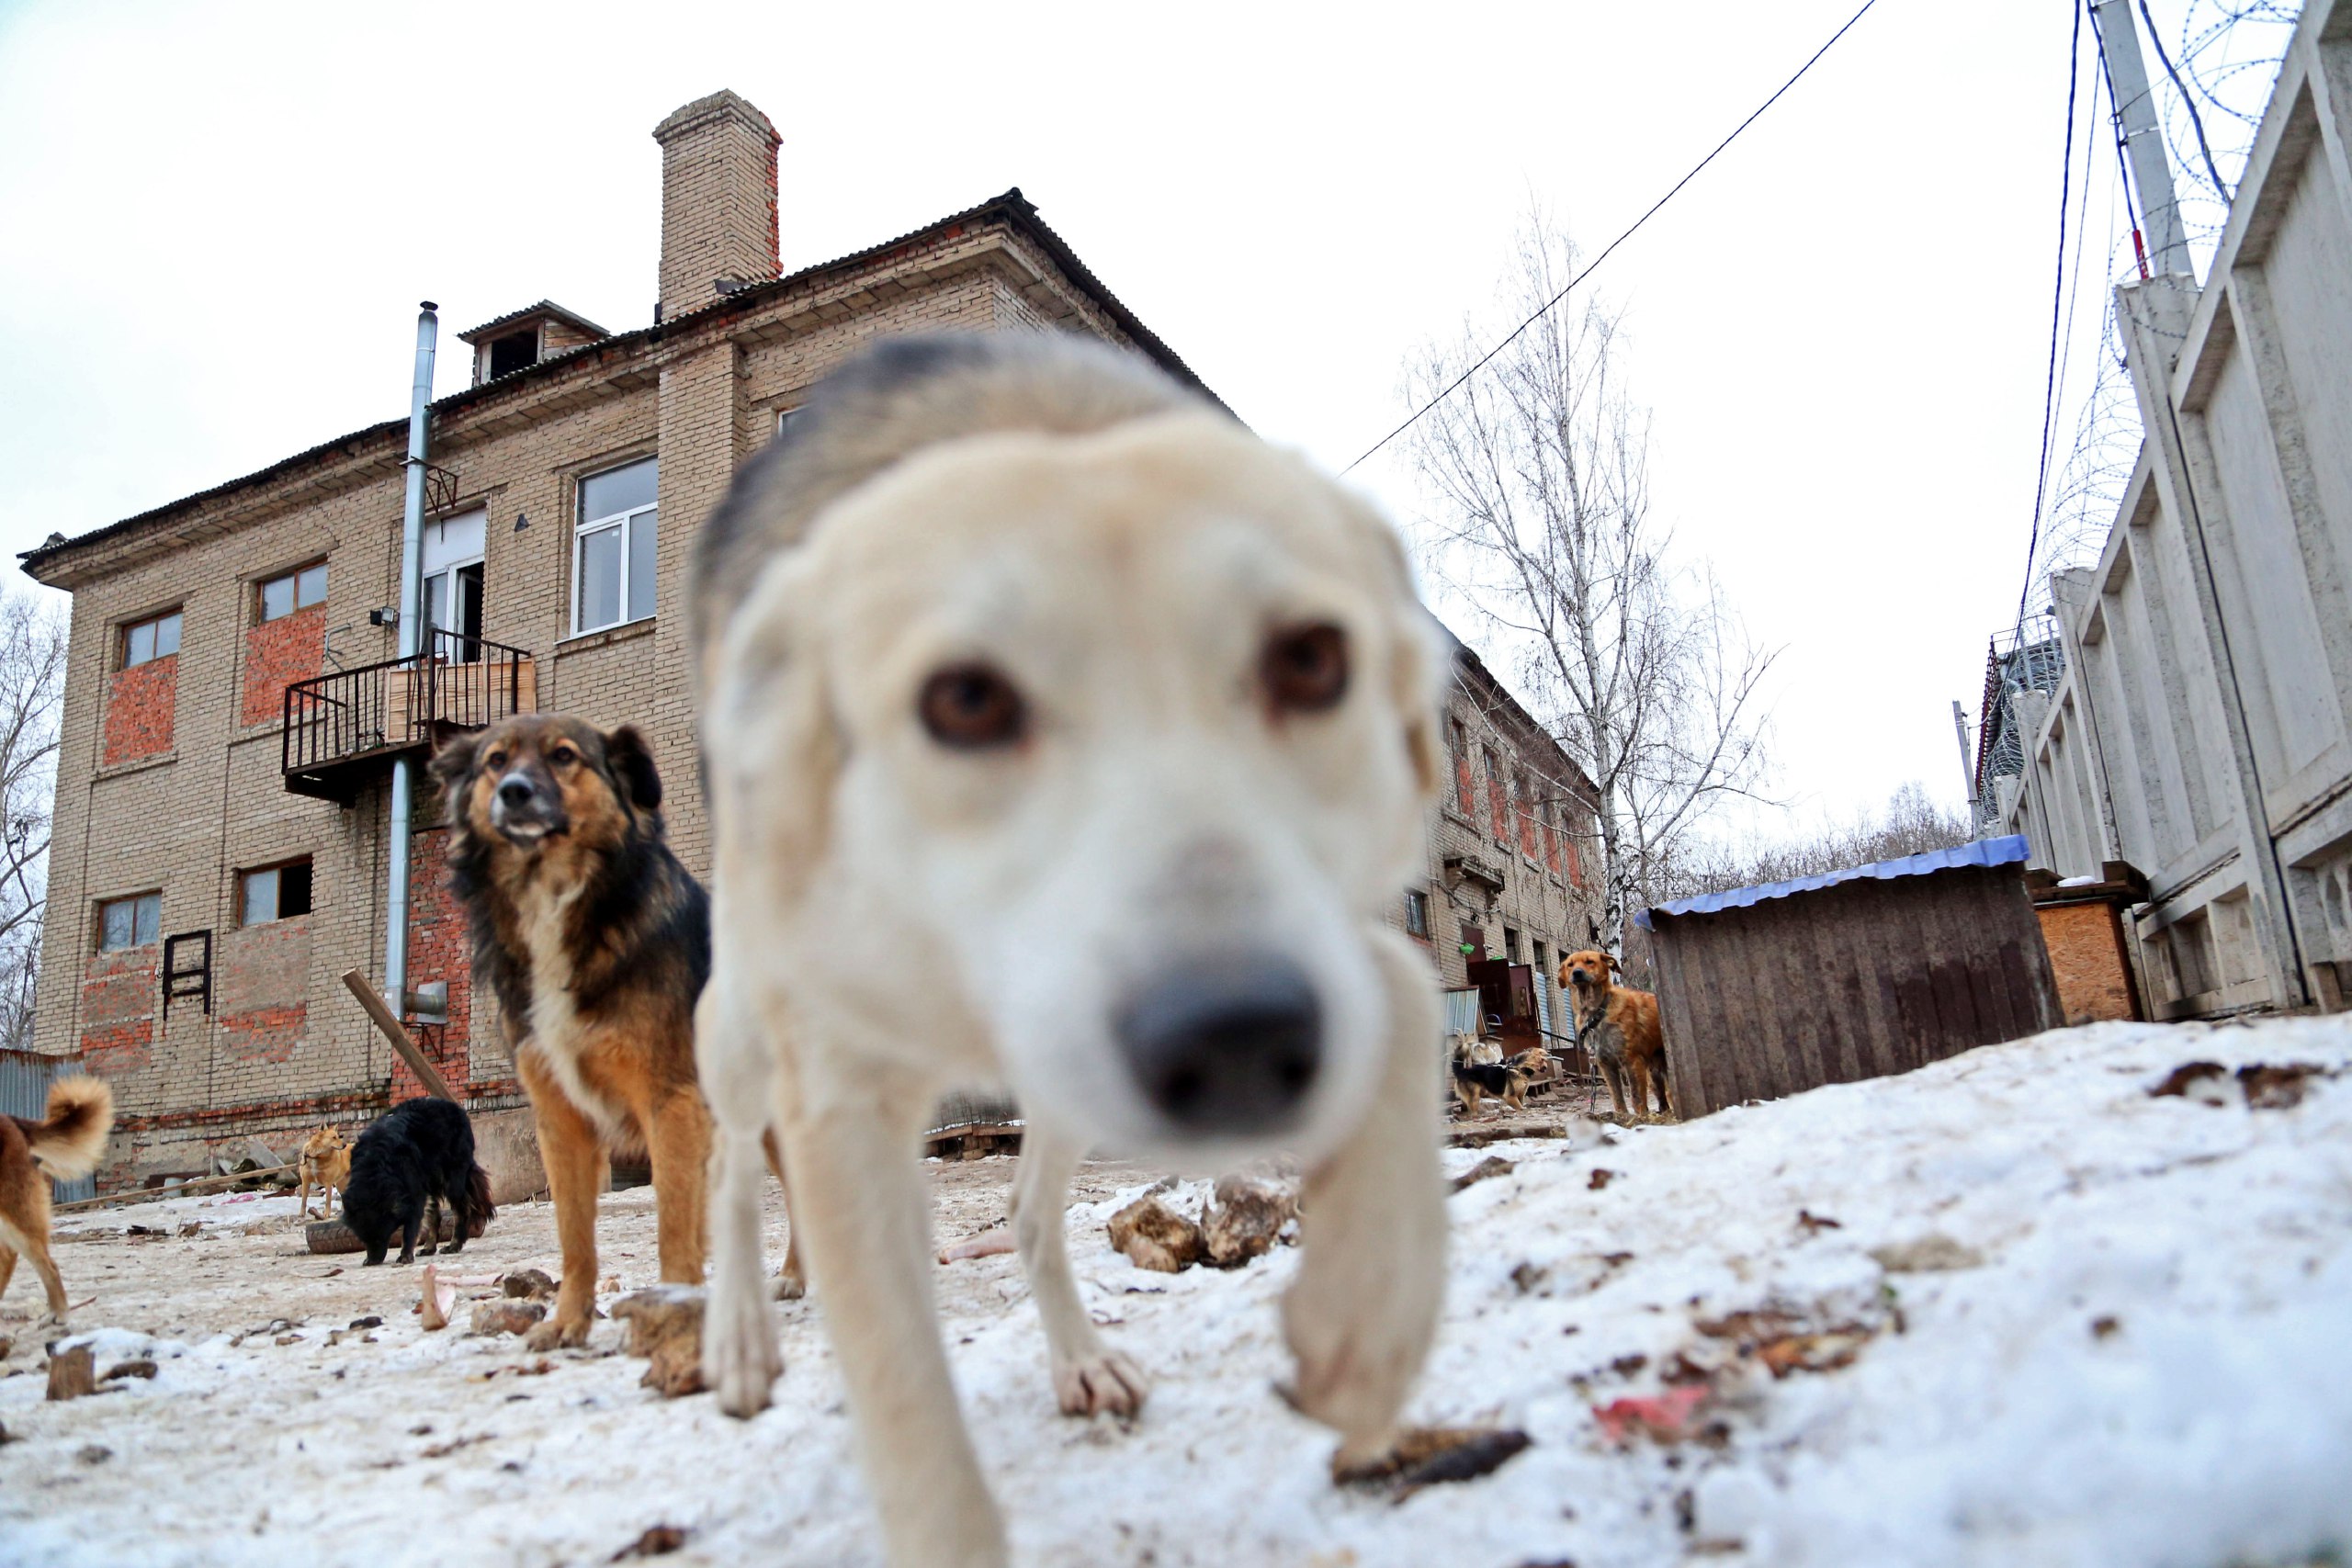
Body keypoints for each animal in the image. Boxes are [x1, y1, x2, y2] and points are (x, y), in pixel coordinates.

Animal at [341, 1100, 496, 1269]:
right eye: (363, 1239)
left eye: (381, 1236)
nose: (373, 1261)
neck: (374, 1167)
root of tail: (454, 1106)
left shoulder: (413, 1196)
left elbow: (409, 1230)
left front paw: (405, 1256)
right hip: (431, 1181)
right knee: (435, 1215)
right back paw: (429, 1247)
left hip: (452, 1180)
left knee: (461, 1212)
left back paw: (454, 1245)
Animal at [437, 715, 804, 1354]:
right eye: (495, 760)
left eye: (564, 756)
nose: (513, 792)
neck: (557, 901)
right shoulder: (559, 1117)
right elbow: (574, 1238)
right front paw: (568, 1322)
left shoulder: (670, 1101)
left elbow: (673, 1229)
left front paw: (678, 1321)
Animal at [1561, 949, 1674, 1123]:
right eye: (1570, 964)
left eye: (1589, 961)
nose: (1577, 973)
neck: (1597, 1012)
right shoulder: (1606, 1065)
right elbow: (1617, 1097)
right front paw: (1622, 1116)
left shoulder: (1632, 1061)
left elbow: (1636, 1098)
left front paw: (1640, 1118)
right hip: (1654, 1074)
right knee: (1663, 1100)